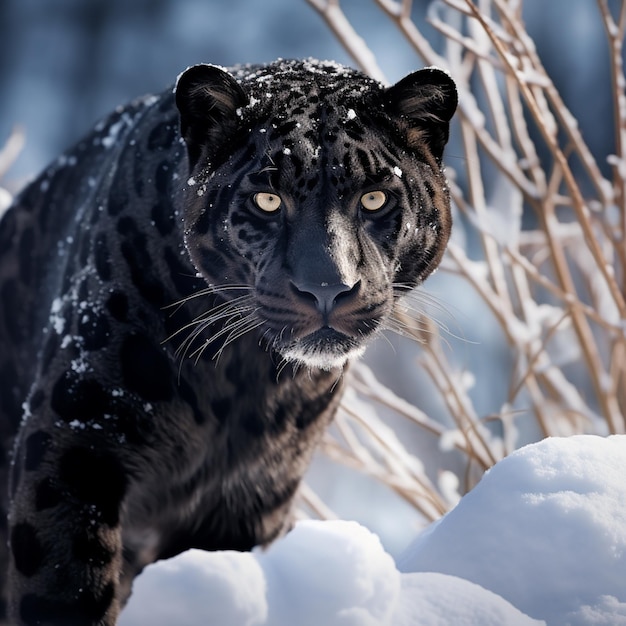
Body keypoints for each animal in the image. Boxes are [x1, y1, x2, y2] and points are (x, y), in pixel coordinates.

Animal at [0, 57, 454, 620]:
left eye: (374, 197)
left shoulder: (249, 498)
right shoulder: (77, 442)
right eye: (267, 200)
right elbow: (61, 586)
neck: (245, 375)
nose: (328, 287)